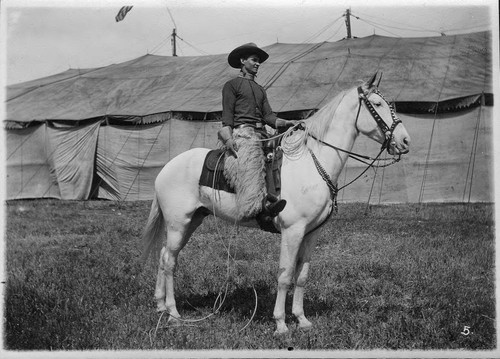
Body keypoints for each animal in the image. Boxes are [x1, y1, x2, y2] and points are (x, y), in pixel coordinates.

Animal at [142, 71, 410, 336]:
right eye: (377, 104)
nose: (405, 141)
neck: (312, 163)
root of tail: (167, 168)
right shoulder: (292, 231)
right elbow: (285, 275)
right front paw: (281, 323)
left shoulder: (312, 233)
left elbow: (301, 276)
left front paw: (302, 319)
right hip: (178, 223)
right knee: (170, 261)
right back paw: (173, 314)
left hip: (192, 221)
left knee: (165, 255)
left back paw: (160, 305)